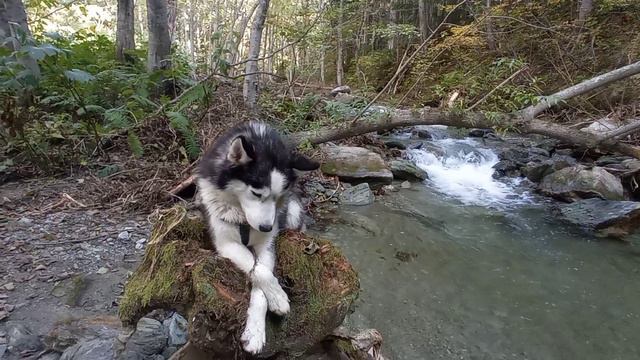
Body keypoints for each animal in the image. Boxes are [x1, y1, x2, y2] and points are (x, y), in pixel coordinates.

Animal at [196, 122, 318, 352]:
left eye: (278, 196)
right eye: (256, 193)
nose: (266, 227)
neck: (243, 220)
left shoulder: (267, 245)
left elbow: (262, 273)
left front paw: (256, 330)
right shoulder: (226, 243)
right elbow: (258, 270)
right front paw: (277, 295)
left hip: (293, 211)